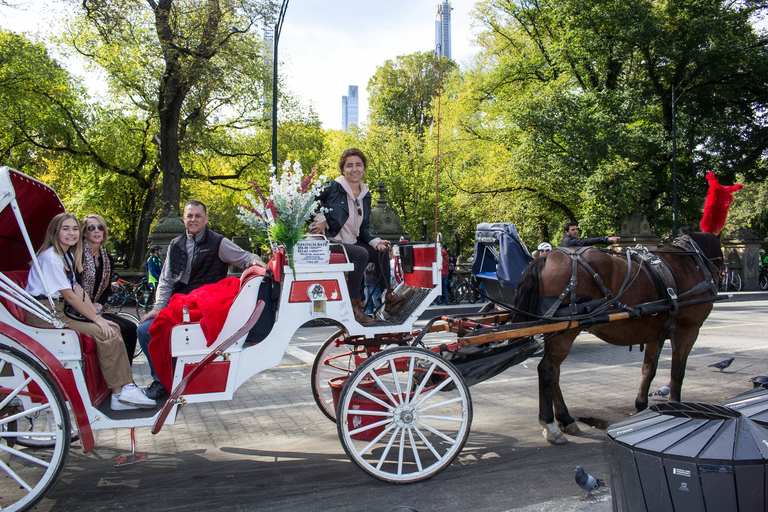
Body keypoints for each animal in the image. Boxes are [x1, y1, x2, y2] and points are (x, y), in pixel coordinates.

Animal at [512, 233, 724, 444]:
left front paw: (642, 405)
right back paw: (550, 425)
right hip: (566, 329)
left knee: (554, 372)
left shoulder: (656, 333)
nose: (720, 275)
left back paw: (565, 419)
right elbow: (677, 373)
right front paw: (674, 406)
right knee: (547, 369)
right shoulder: (688, 330)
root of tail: (545, 257)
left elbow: (649, 369)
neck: (691, 261)